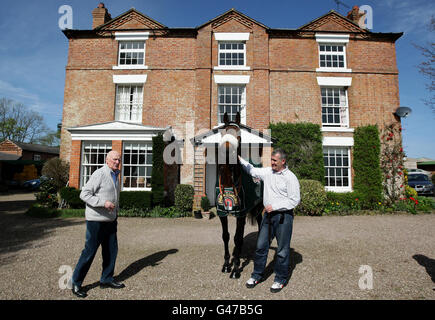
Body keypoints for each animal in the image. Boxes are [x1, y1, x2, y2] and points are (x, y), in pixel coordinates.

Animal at [216, 112, 264, 278]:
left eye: (239, 135)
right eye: (222, 133)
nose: (227, 151)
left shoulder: (240, 214)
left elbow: (237, 238)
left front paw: (236, 268)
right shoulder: (222, 213)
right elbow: (226, 236)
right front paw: (226, 265)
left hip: (257, 208)